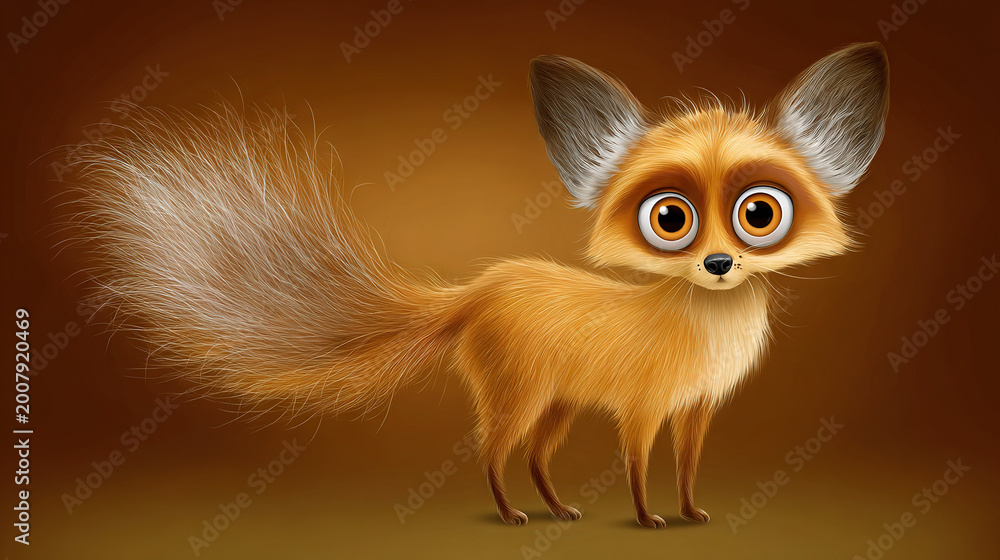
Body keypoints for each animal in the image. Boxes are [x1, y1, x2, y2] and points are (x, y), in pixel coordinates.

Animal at [73, 42, 888, 528]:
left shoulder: (696, 408)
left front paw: (689, 514)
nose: (719, 265)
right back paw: (513, 516)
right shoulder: (641, 406)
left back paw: (557, 511)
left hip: (557, 402)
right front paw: (647, 517)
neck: (704, 327)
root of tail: (479, 288)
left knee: (533, 456)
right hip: (522, 395)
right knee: (493, 452)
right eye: (670, 218)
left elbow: (686, 468)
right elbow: (636, 466)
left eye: (759, 214)